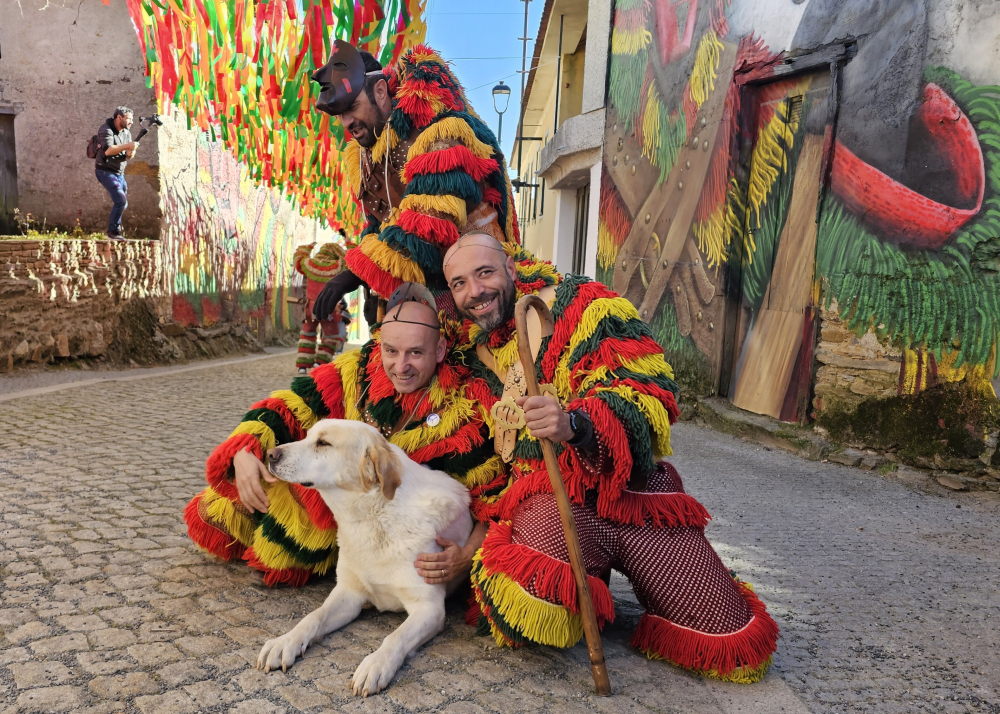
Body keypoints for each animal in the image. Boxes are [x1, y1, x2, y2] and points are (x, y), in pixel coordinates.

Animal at [258, 420, 476, 692]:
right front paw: (284, 642)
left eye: (323, 443)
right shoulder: (349, 593)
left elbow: (396, 637)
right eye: (307, 436)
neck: (373, 519)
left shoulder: (429, 608)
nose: (270, 454)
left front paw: (376, 665)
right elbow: (312, 616)